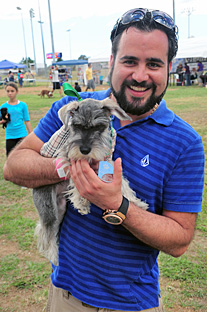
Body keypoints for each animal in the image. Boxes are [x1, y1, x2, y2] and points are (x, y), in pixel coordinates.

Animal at [33, 97, 148, 264]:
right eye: (77, 125)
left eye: (99, 126)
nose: (85, 150)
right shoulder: (68, 157)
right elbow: (76, 175)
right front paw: (81, 202)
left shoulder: (106, 160)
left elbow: (123, 182)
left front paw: (135, 201)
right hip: (49, 209)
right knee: (45, 233)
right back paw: (54, 256)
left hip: (60, 209)